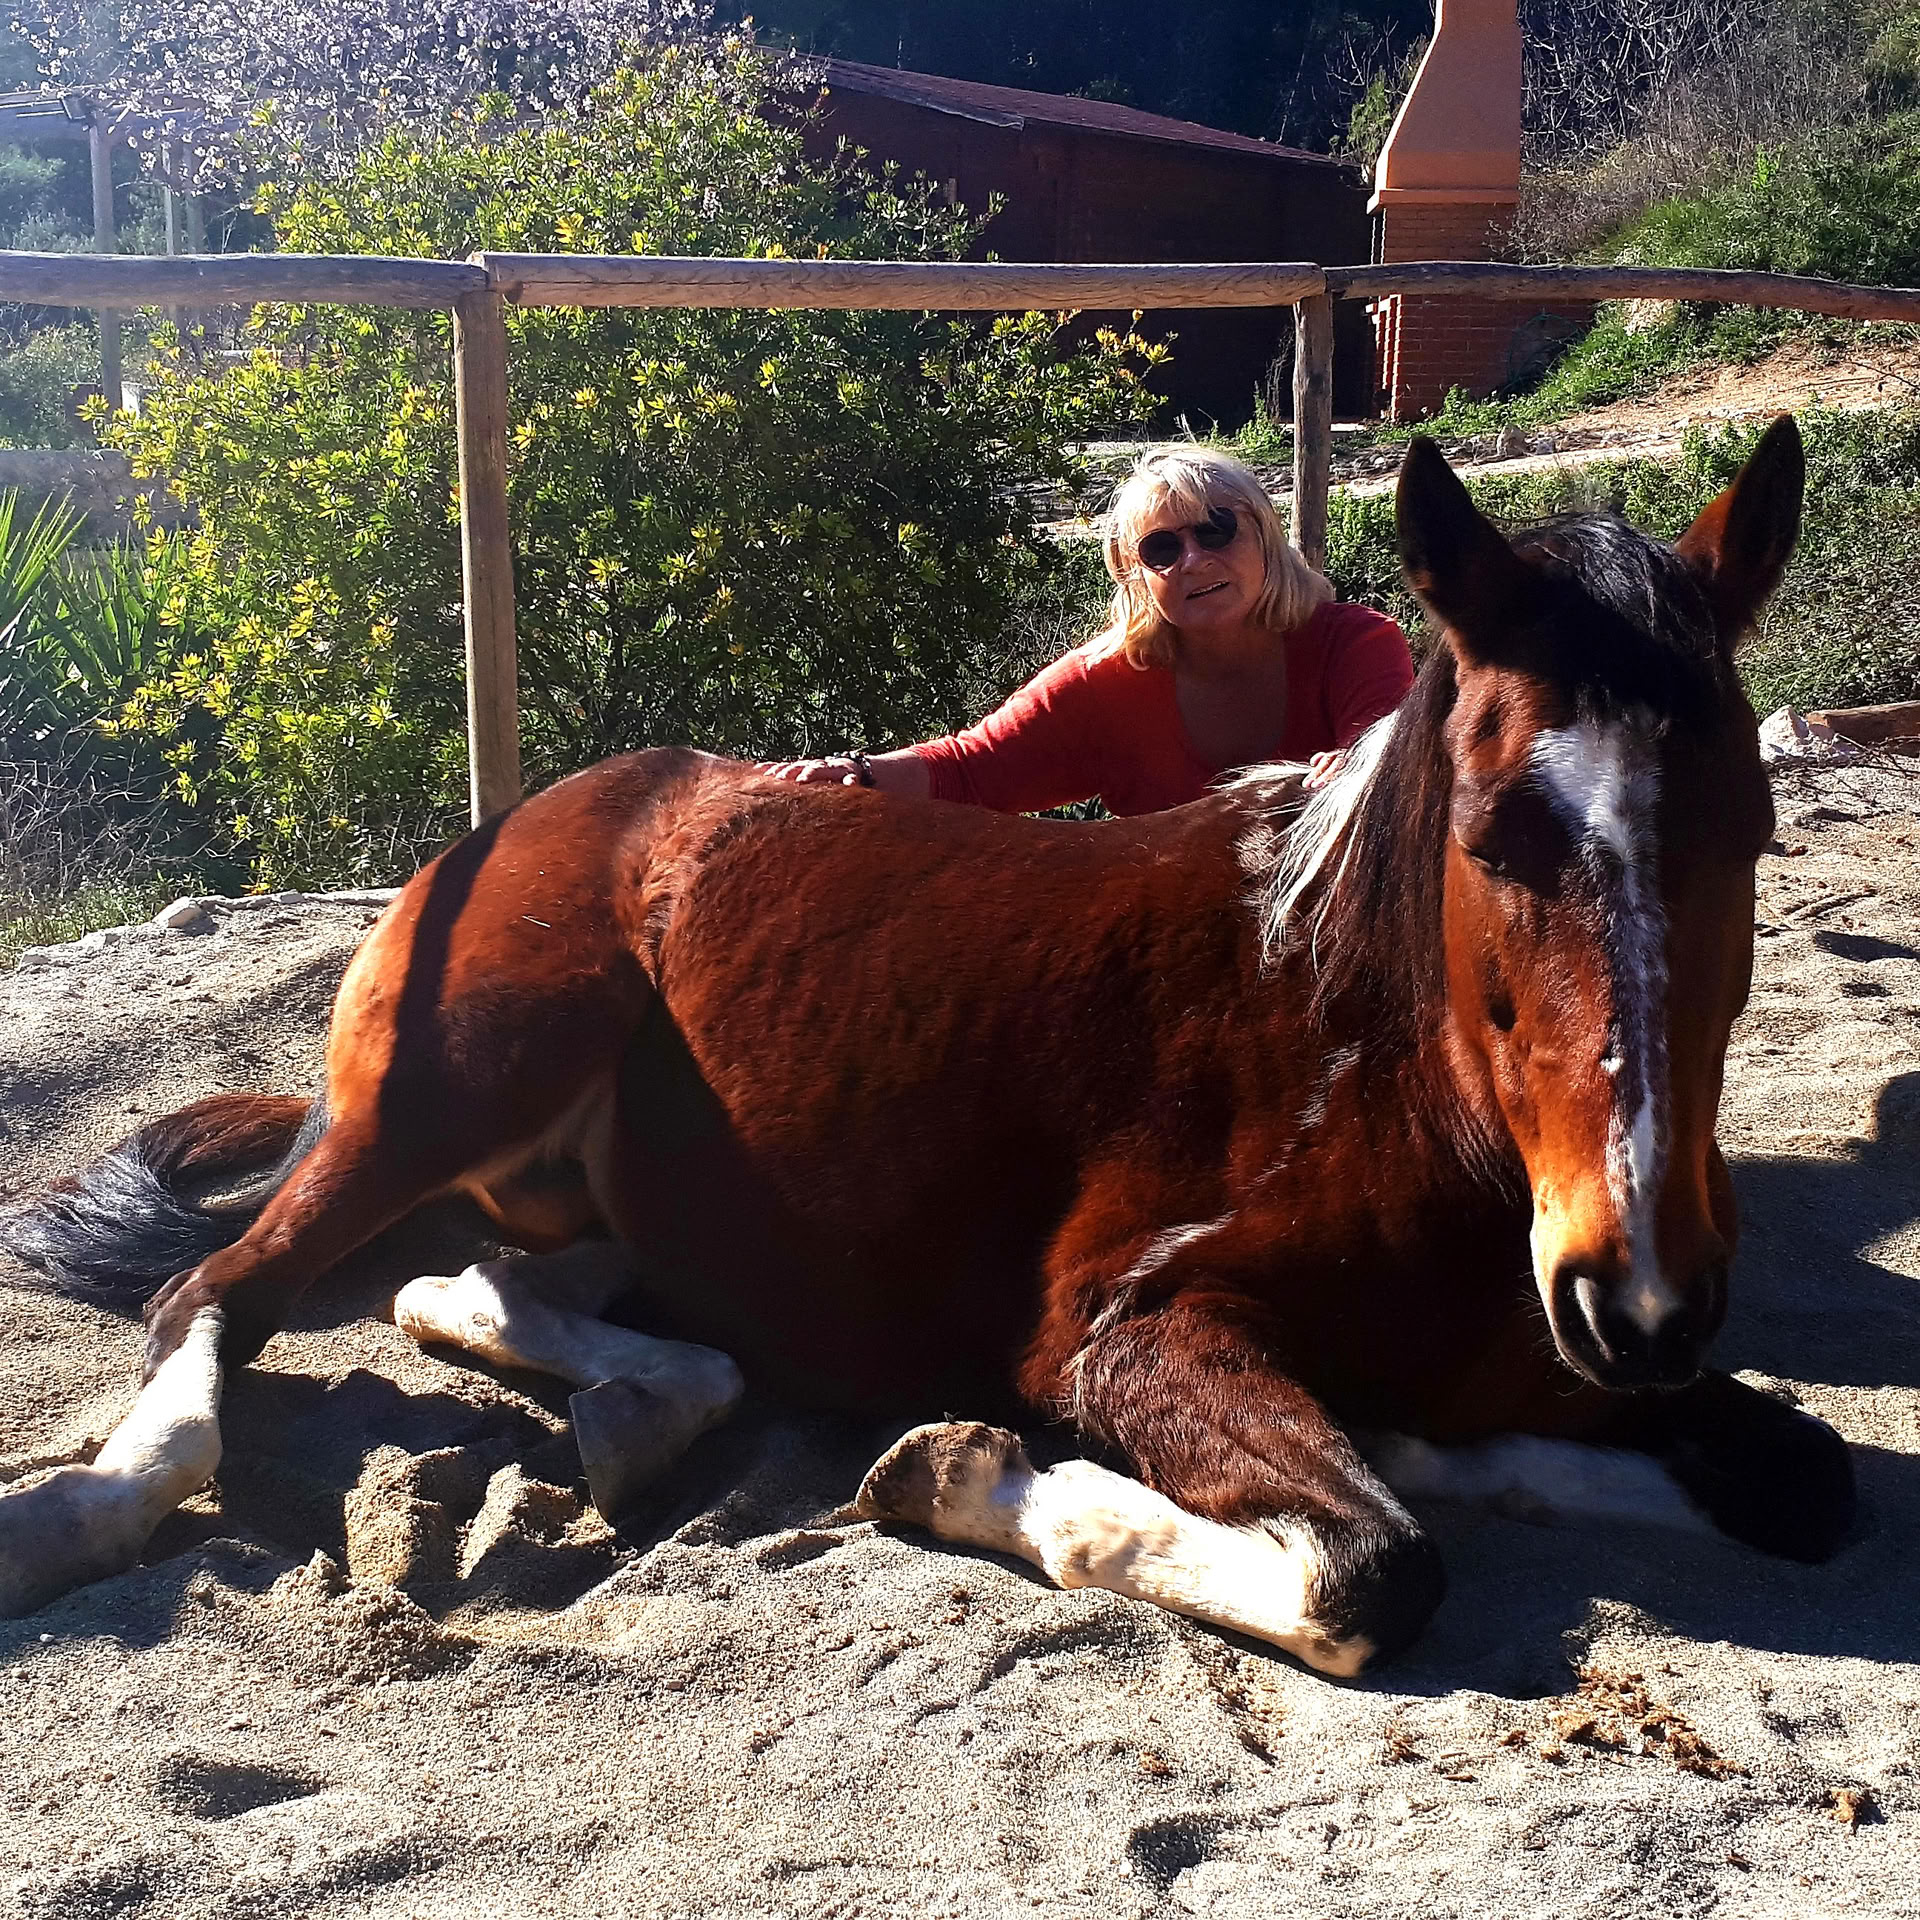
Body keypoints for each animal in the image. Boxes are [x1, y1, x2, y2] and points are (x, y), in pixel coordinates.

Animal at [0, 419, 1853, 1675]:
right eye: (1492, 837)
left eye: (1752, 832)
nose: (1643, 1297)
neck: (1382, 1076)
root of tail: (544, 810)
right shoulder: (1126, 1324)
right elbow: (1368, 1571)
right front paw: (972, 1471)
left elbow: (1798, 1475)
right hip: (452, 1081)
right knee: (222, 1298)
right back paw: (78, 1513)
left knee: (478, 1289)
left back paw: (646, 1405)